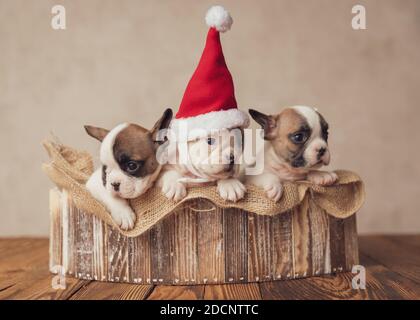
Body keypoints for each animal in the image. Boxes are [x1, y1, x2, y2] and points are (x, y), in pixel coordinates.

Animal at [158, 5, 249, 202]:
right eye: (209, 141)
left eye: (238, 142)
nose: (231, 157)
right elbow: (170, 173)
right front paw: (175, 185)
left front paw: (230, 184)